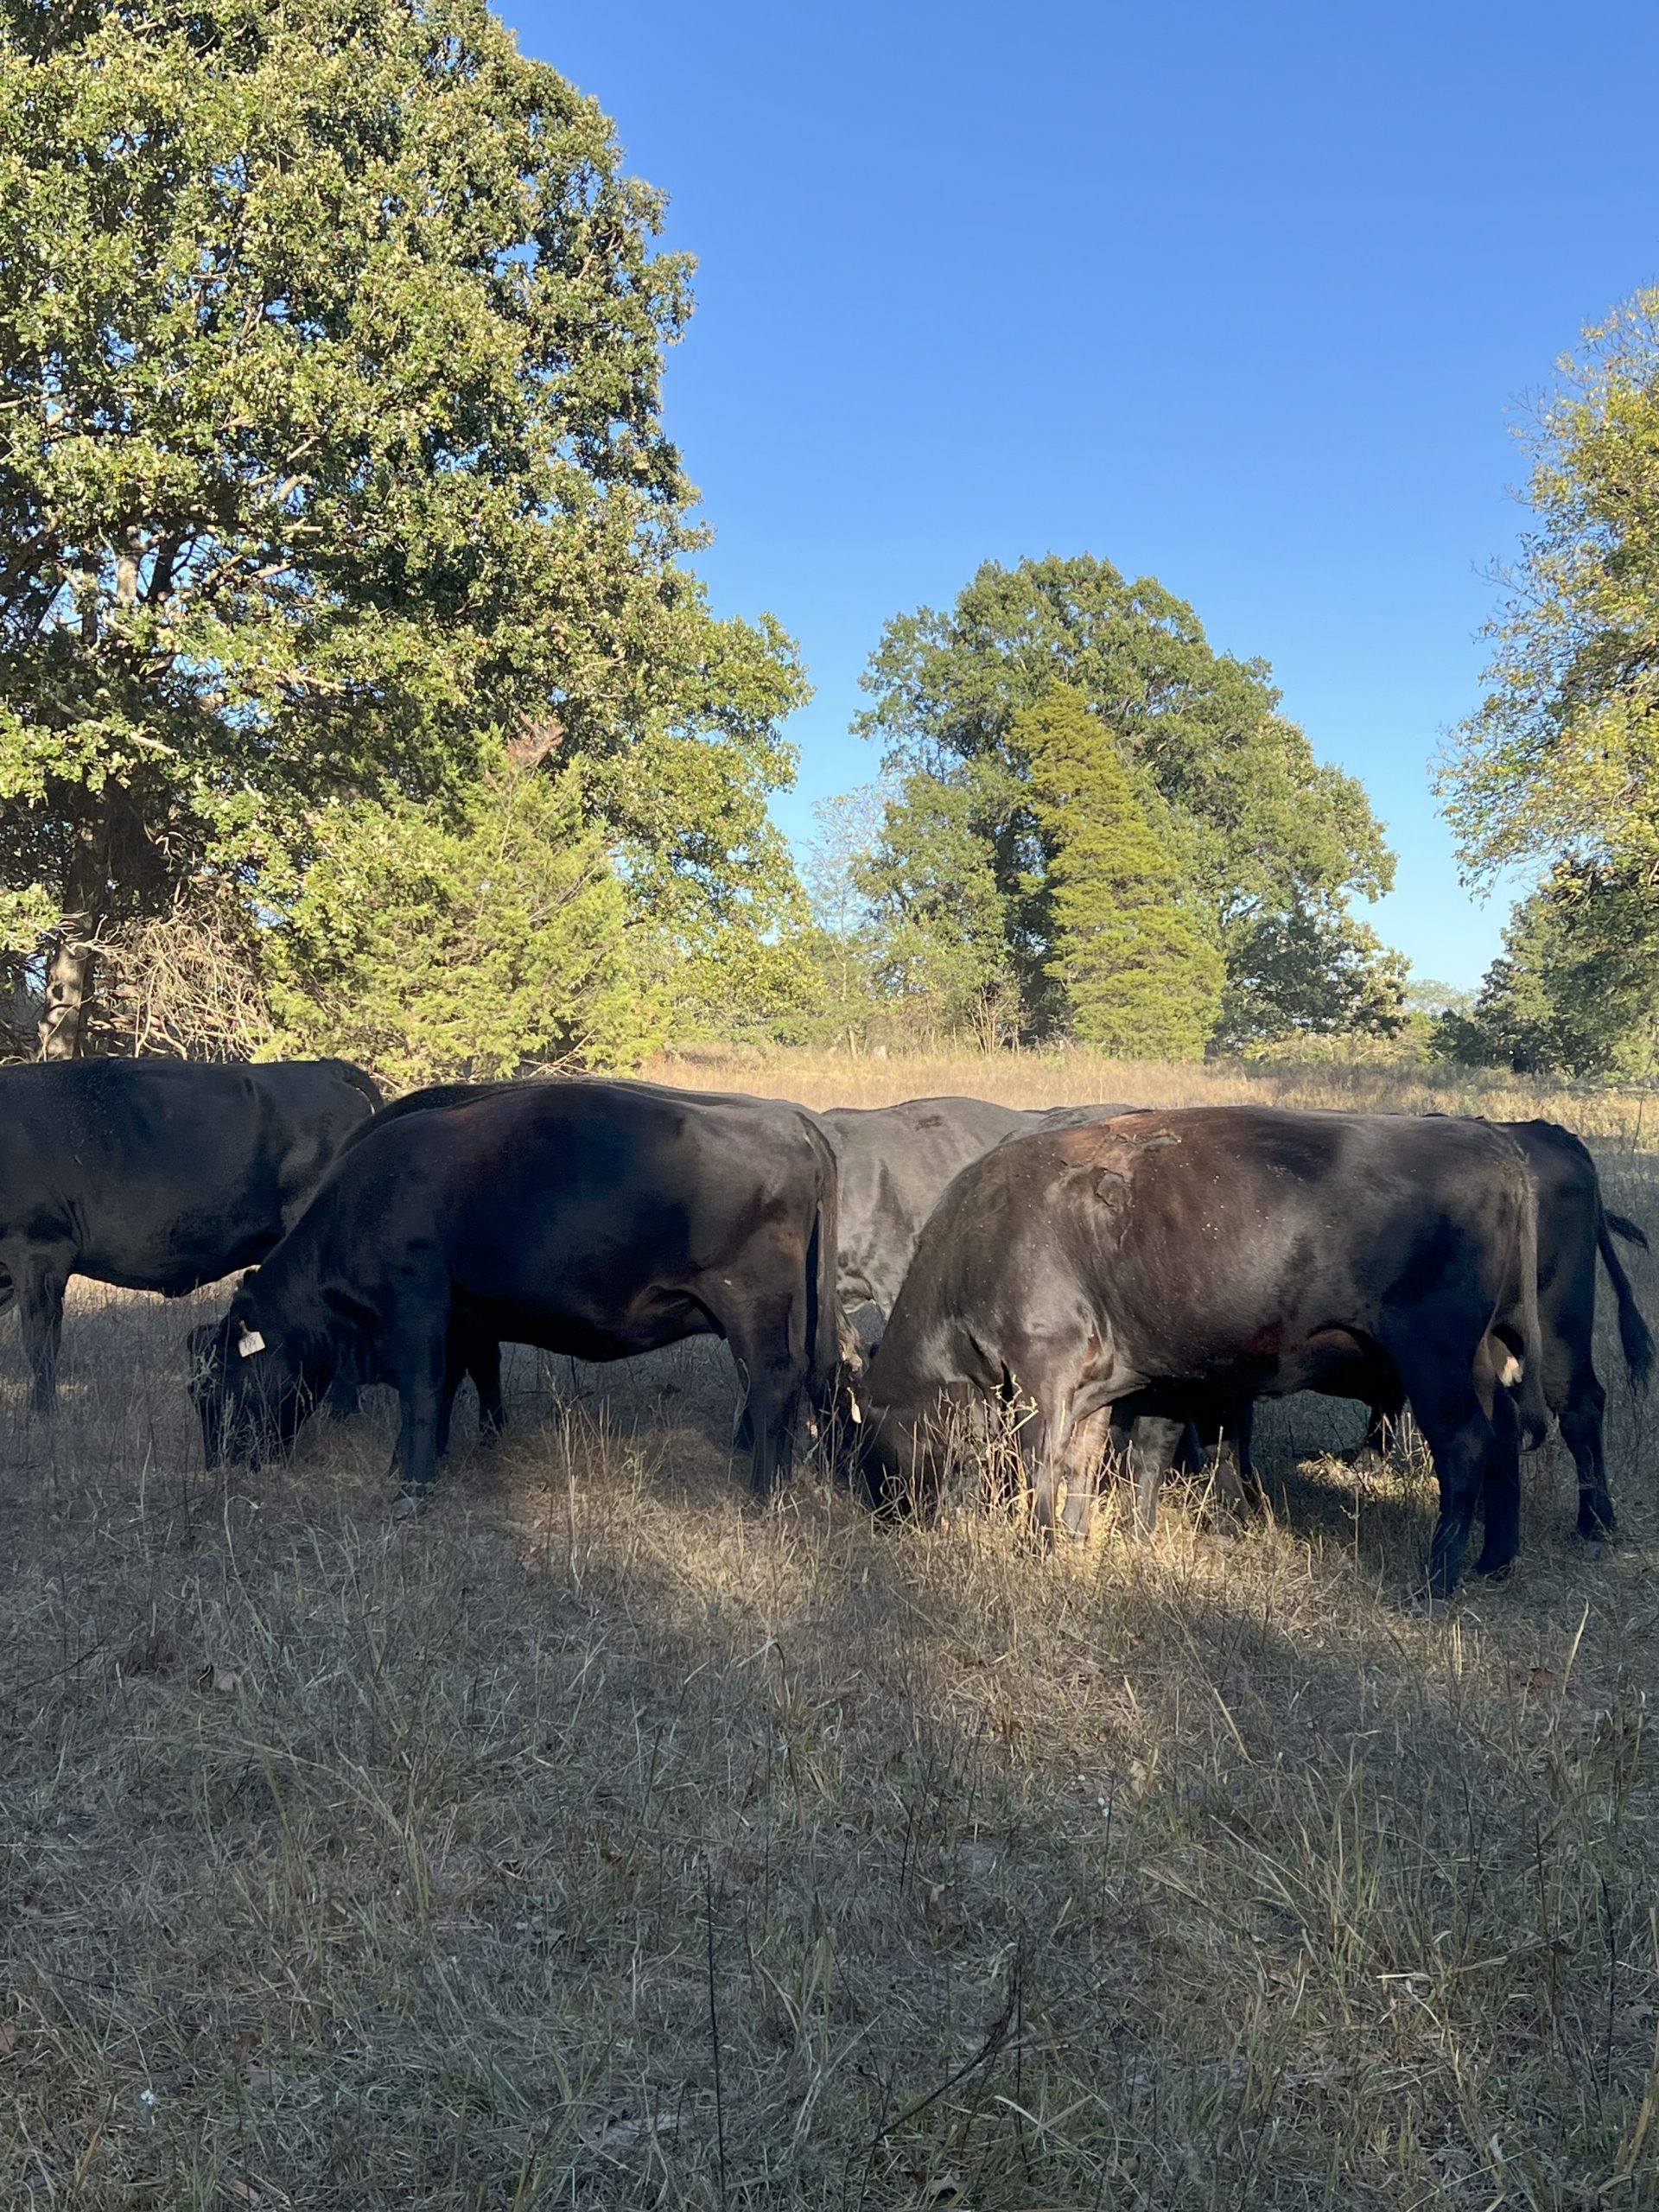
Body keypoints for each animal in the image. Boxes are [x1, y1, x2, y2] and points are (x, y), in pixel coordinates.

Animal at [188, 1078, 842, 1506]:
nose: (219, 1464)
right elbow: (459, 1383)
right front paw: (430, 1456)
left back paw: (760, 1494)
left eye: (217, 1385)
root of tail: (790, 1123)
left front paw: (411, 1485)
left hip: (751, 1306)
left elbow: (423, 1393)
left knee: (773, 1382)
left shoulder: (417, 1306)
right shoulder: (463, 1316)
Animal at [856, 1106, 1541, 1598]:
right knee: (1503, 1437)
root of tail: (1493, 1145)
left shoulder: (1042, 1374)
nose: (888, 1517)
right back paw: (1494, 1561)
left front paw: (1040, 1549)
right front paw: (1074, 1543)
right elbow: (1082, 1465)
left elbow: (1042, 1466)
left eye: (874, 1440)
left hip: (1434, 1361)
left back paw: (1437, 1579)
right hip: (1482, 1359)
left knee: (1466, 1446)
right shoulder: (1090, 1388)